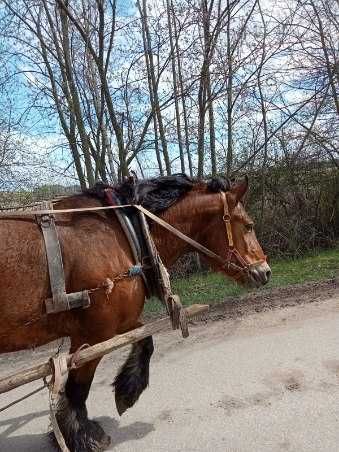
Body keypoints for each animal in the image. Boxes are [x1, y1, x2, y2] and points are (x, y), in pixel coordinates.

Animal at [0, 174, 270, 452]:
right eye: (248, 225)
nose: (266, 272)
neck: (121, 230)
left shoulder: (118, 322)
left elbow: (145, 340)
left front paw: (127, 391)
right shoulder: (93, 334)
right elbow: (78, 386)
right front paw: (82, 435)